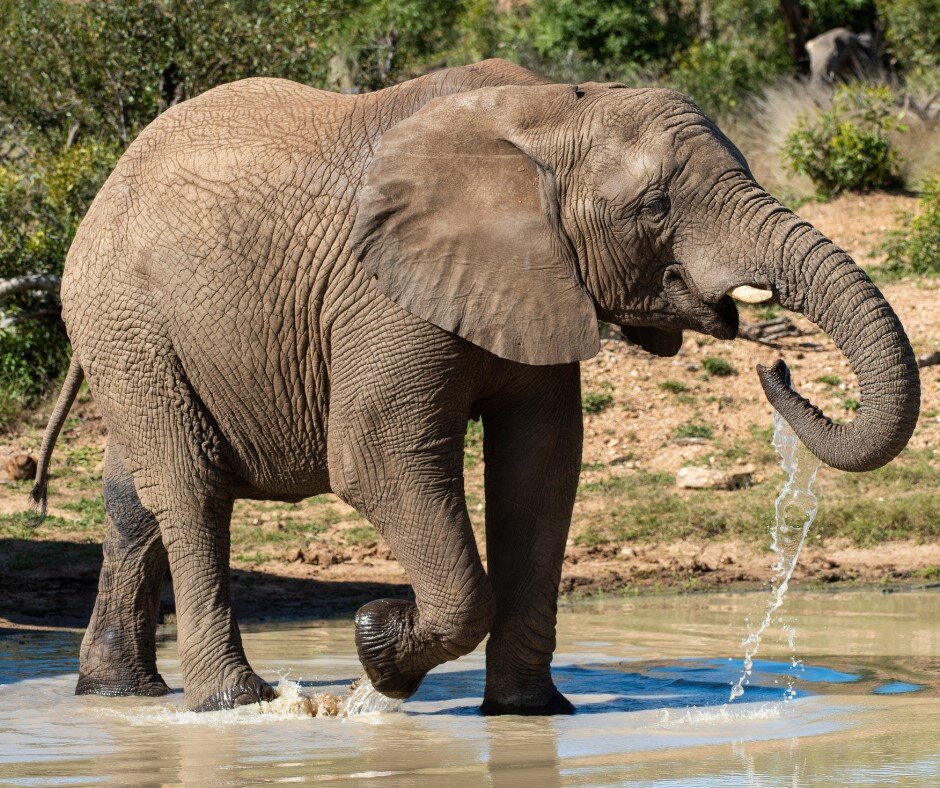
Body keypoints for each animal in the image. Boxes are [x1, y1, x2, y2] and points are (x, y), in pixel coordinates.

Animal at [30, 59, 919, 714]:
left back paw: (119, 695)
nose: (779, 365)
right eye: (656, 205)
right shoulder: (381, 294)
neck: (548, 113)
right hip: (127, 319)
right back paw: (234, 704)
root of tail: (103, 189)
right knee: (192, 491)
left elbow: (543, 467)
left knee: (134, 501)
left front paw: (529, 714)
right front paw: (379, 644)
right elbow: (378, 458)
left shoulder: (541, 281)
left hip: (134, 335)